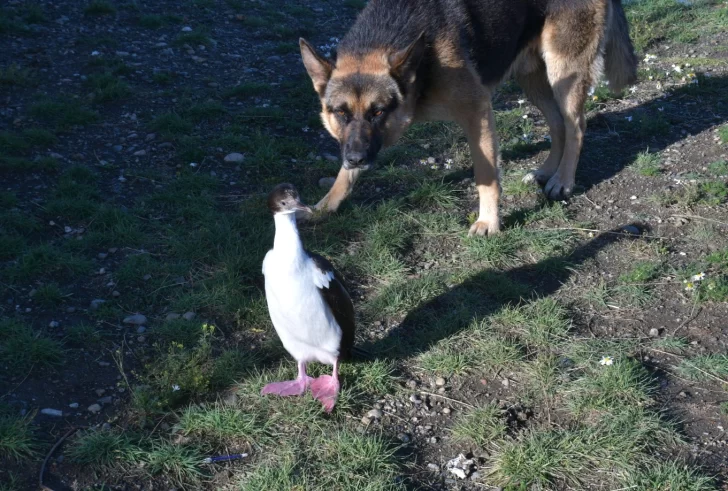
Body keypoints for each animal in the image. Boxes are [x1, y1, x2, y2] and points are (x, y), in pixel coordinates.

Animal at [298, 0, 636, 236]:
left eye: (378, 112)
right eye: (340, 113)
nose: (355, 158)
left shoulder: (477, 112)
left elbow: (486, 177)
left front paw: (489, 221)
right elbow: (343, 177)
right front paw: (325, 205)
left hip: (563, 74)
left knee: (576, 126)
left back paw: (563, 181)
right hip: (532, 78)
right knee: (557, 125)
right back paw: (546, 172)